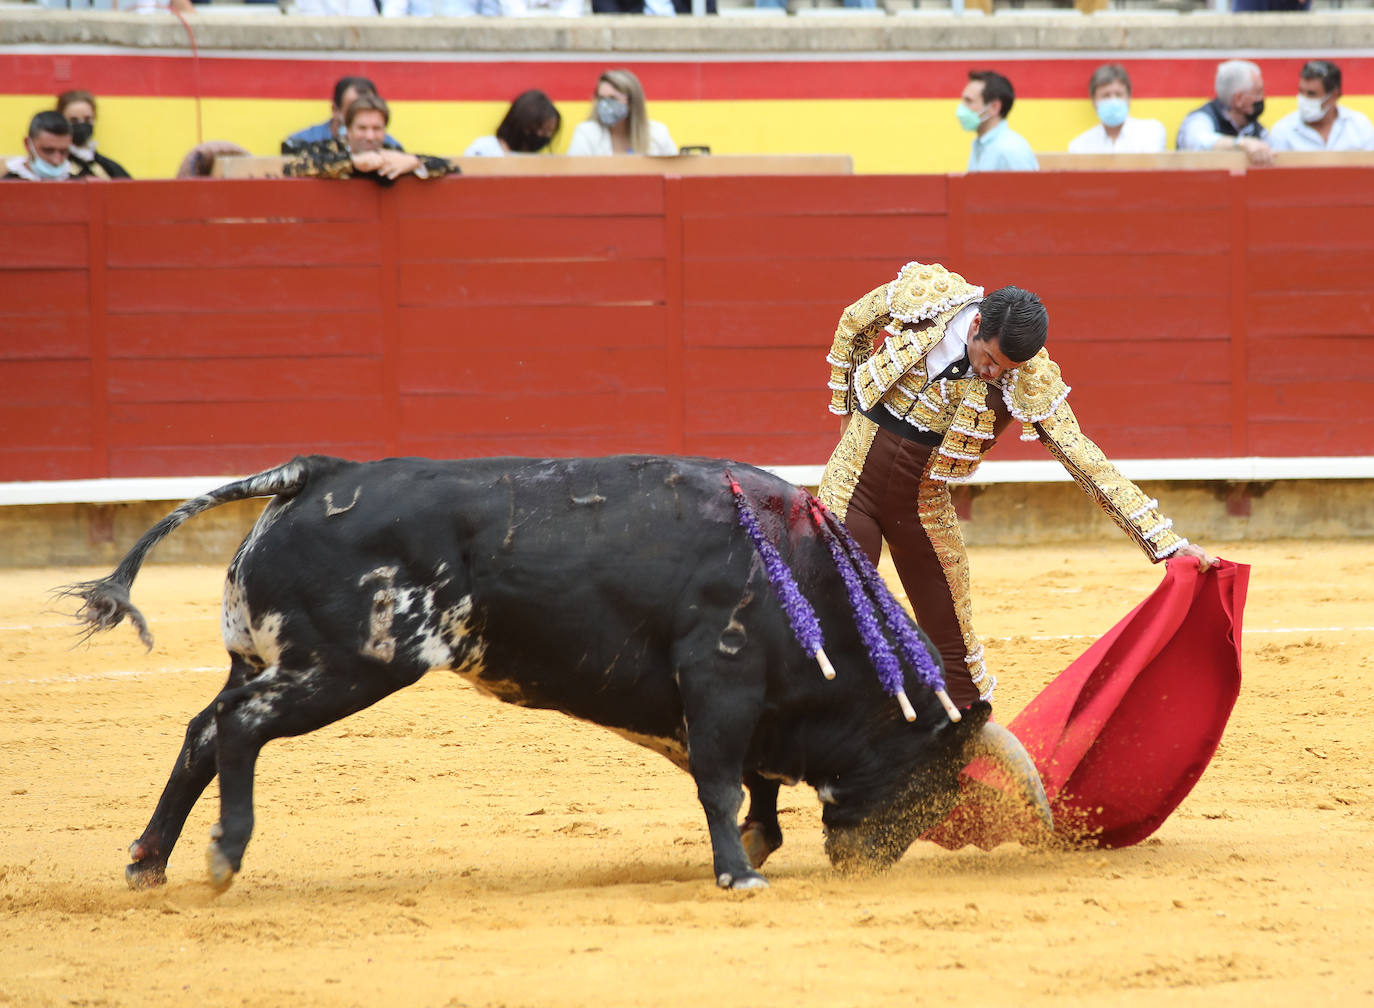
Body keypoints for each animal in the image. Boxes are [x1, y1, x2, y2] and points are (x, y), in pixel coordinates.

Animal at [64, 455, 1044, 889]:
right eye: (933, 781)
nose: (866, 867)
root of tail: (316, 472)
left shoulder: (742, 703)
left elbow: (753, 783)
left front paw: (758, 845)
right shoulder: (721, 675)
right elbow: (723, 781)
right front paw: (739, 871)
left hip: (263, 657)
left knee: (201, 731)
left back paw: (149, 862)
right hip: (347, 668)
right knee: (239, 729)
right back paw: (223, 856)